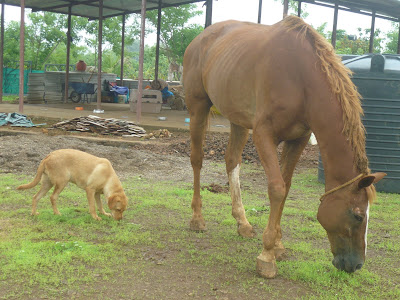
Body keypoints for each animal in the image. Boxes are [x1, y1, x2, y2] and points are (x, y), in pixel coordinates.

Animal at [183, 15, 386, 278]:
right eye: (358, 216)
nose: (356, 265)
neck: (301, 78)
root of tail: (200, 38)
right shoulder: (263, 134)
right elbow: (277, 189)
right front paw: (267, 255)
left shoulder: (298, 139)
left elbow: (286, 187)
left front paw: (278, 245)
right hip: (198, 107)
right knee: (197, 159)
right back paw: (197, 218)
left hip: (238, 120)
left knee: (232, 161)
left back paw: (242, 222)